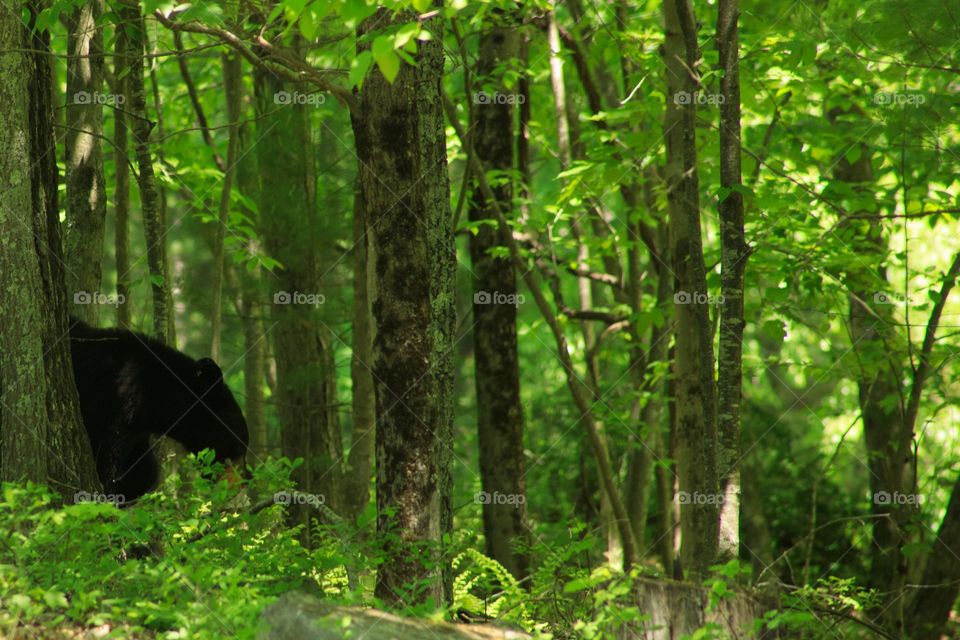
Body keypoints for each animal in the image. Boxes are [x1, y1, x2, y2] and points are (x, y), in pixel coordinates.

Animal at [68, 317, 249, 502]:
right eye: (238, 446)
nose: (245, 481)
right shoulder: (110, 410)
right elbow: (106, 464)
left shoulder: (135, 429)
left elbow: (143, 470)